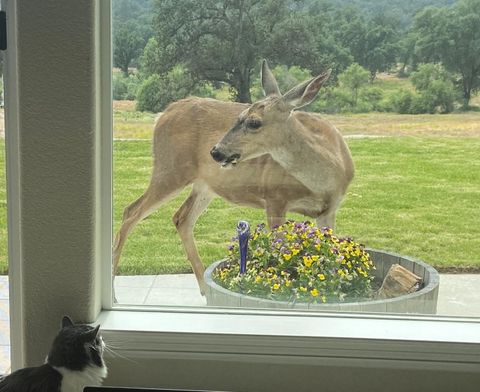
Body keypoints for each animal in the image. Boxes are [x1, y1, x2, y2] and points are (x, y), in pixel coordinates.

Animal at [111, 60, 352, 294]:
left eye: (254, 122)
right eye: (239, 117)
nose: (216, 151)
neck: (325, 179)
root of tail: (163, 113)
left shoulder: (330, 209)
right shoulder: (274, 196)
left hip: (204, 185)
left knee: (181, 217)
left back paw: (205, 289)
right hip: (171, 169)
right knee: (131, 212)